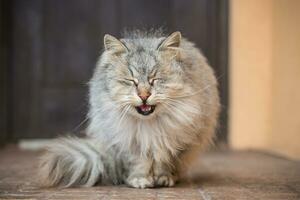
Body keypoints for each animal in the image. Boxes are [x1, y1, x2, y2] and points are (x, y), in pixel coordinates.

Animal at [38, 29, 220, 188]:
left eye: (154, 79)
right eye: (131, 81)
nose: (144, 95)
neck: (149, 125)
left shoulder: (175, 143)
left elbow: (162, 163)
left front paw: (163, 178)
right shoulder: (129, 143)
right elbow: (140, 163)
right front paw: (140, 180)